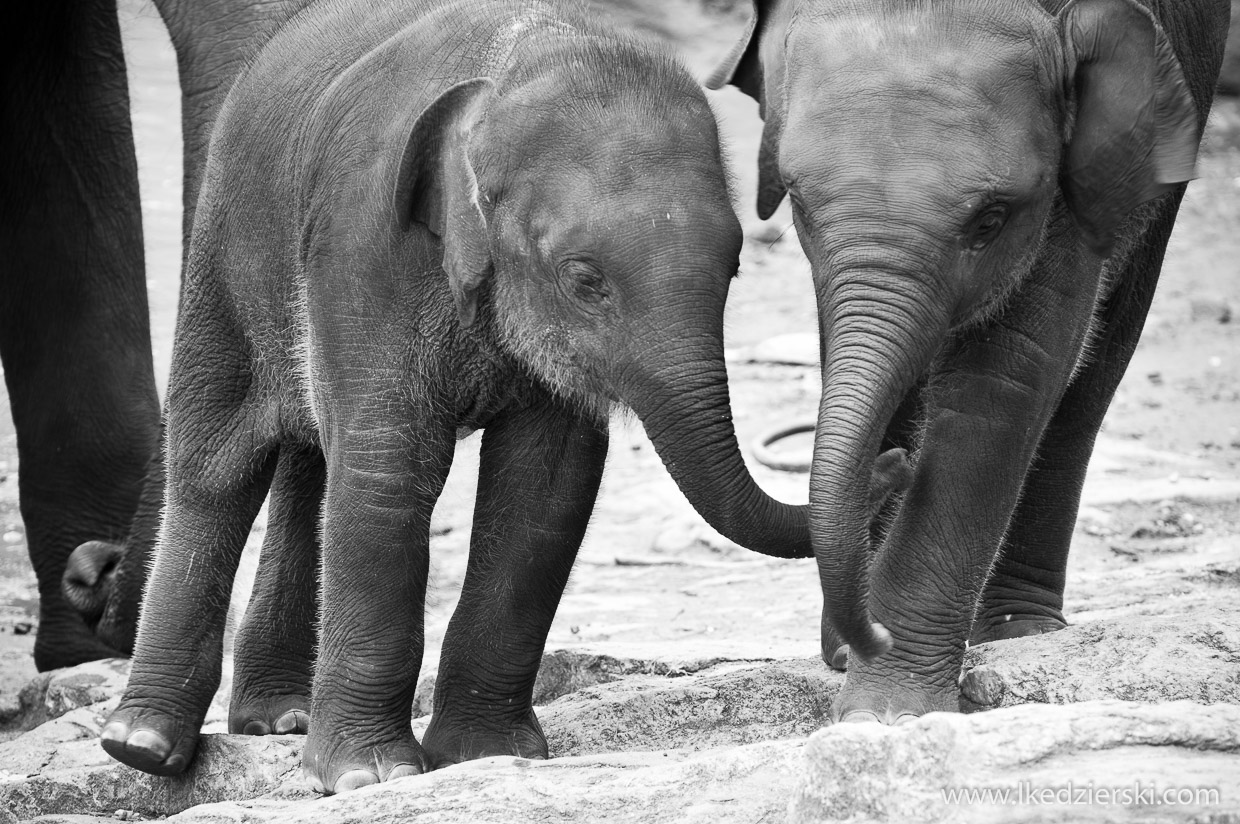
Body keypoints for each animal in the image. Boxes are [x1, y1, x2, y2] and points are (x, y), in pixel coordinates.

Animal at [101, 0, 808, 793]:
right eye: (584, 279)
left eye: (737, 265)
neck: (511, 70)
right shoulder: (364, 241)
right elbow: (389, 468)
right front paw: (369, 777)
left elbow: (545, 486)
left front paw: (484, 755)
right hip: (225, 250)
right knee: (216, 465)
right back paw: (143, 745)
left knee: (309, 463)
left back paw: (279, 721)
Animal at [709, 0, 1230, 718]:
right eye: (799, 202)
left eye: (990, 220)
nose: (896, 465)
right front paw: (854, 662)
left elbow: (1008, 366)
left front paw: (887, 712)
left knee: (1094, 372)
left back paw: (1020, 631)